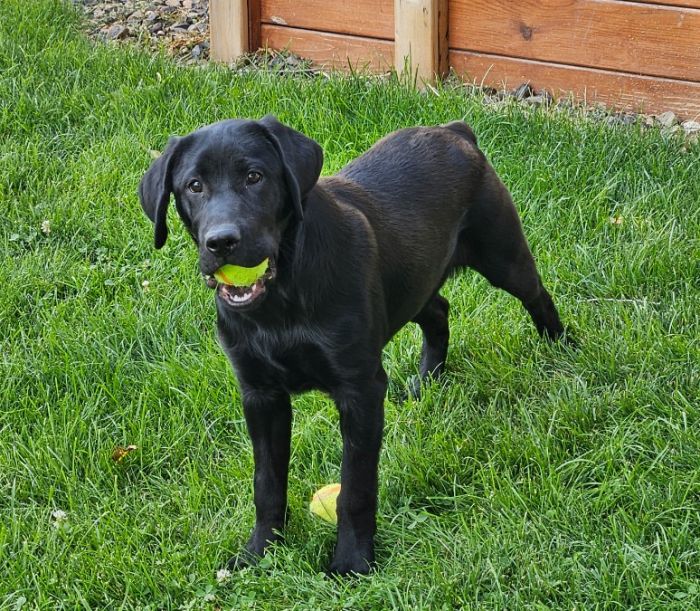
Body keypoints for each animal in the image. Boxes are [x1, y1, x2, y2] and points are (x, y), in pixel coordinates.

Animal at [139, 116, 572, 580]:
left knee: (536, 295)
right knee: (438, 310)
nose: (221, 242)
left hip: (501, 254)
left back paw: (563, 349)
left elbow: (356, 487)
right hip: (414, 282)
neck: (282, 298)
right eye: (194, 186)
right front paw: (259, 552)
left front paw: (351, 562)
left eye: (254, 176)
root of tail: (453, 130)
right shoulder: (260, 395)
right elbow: (266, 482)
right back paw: (427, 380)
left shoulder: (359, 390)